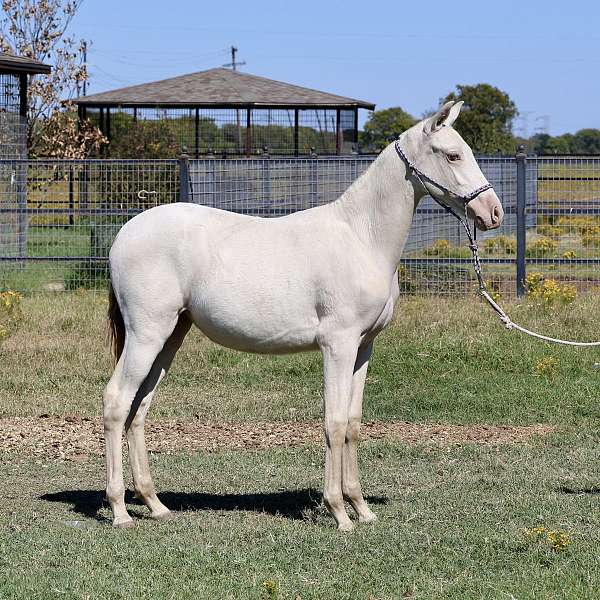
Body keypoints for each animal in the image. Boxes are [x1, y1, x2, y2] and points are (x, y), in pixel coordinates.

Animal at [105, 102, 504, 528]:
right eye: (453, 155)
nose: (493, 212)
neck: (361, 237)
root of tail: (124, 234)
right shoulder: (337, 345)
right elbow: (334, 422)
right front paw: (339, 512)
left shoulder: (363, 348)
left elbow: (353, 424)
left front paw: (362, 509)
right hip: (147, 333)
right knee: (117, 402)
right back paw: (120, 511)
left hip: (171, 336)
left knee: (139, 409)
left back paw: (155, 505)